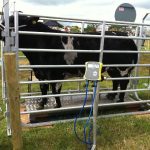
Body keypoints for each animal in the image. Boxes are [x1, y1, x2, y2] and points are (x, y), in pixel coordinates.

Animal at [0, 14, 138, 109]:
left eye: (13, 21)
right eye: (3, 21)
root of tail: (127, 37)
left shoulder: (56, 74)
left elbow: (55, 91)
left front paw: (57, 105)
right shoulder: (40, 73)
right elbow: (43, 89)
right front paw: (41, 104)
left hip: (123, 68)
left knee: (123, 83)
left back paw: (120, 100)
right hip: (113, 68)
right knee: (116, 81)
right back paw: (111, 96)